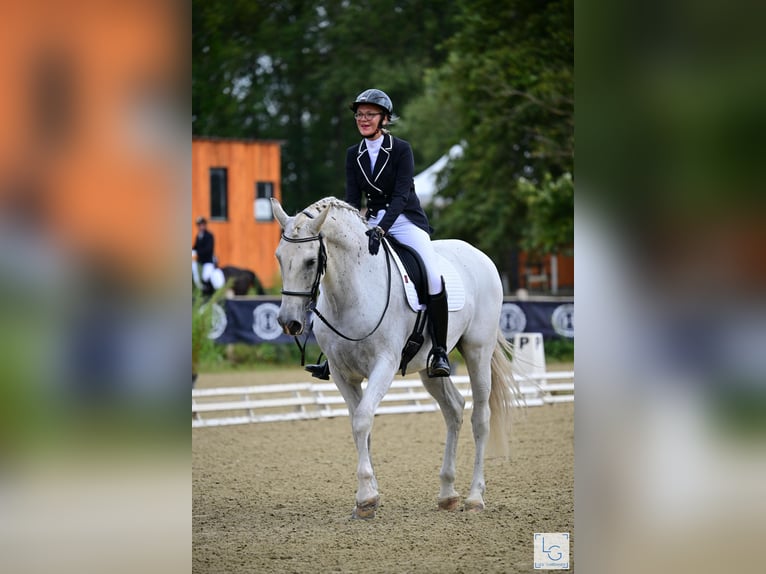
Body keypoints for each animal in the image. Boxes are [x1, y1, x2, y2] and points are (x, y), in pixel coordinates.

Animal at [272, 196, 520, 520]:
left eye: (311, 261)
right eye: (279, 257)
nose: (289, 323)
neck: (353, 291)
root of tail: (478, 254)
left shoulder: (385, 364)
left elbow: (362, 420)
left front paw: (366, 497)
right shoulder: (341, 373)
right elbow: (360, 426)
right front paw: (369, 494)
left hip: (478, 350)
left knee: (480, 417)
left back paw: (474, 497)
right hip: (429, 368)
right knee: (454, 409)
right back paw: (447, 494)